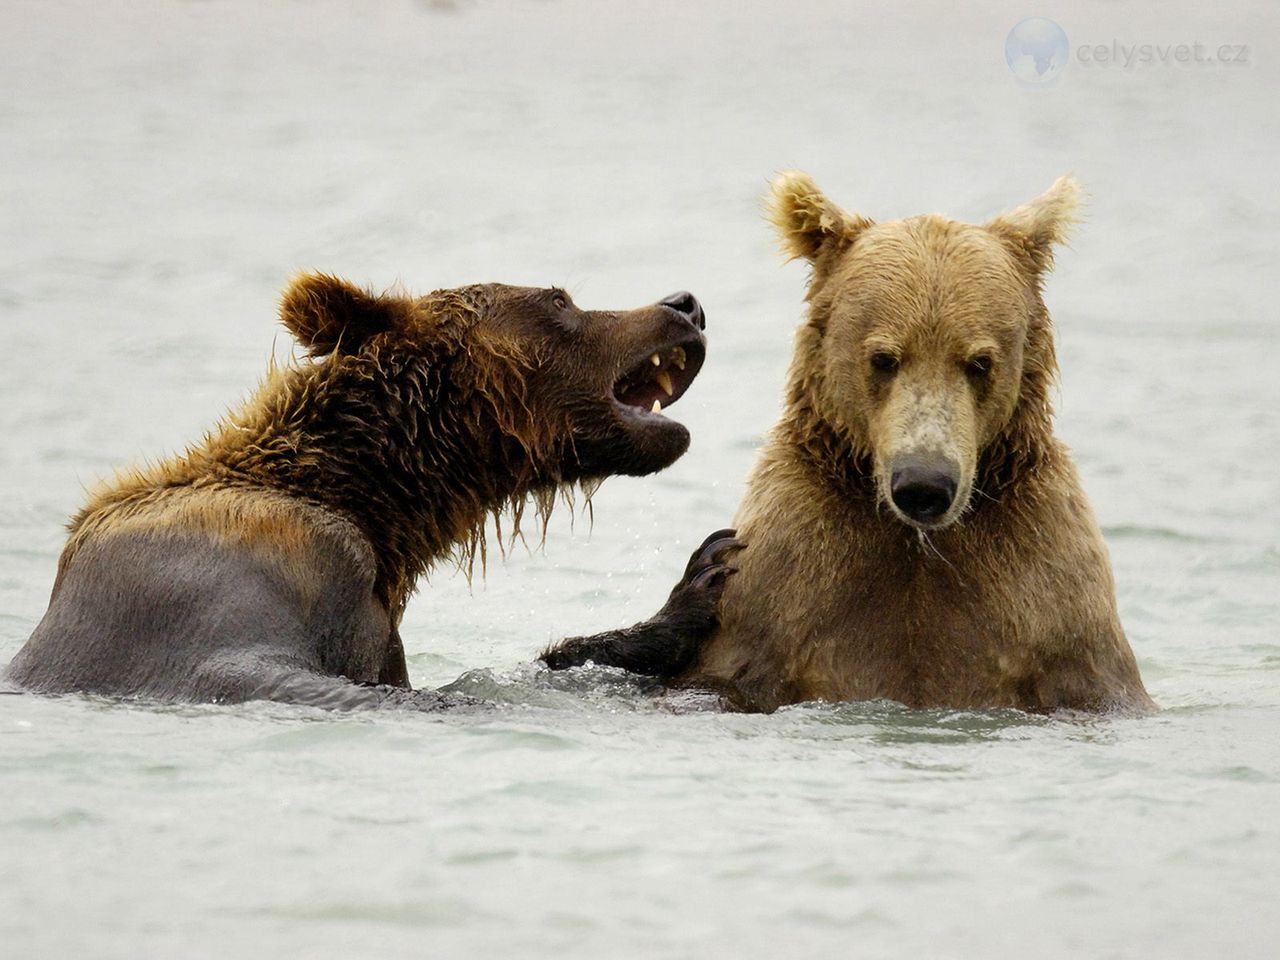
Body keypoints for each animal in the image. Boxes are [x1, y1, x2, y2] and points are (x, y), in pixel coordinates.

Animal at [675, 171, 1157, 716]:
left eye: (979, 361)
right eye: (884, 357)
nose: (924, 484)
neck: (918, 542)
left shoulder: (1049, 594)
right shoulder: (788, 575)